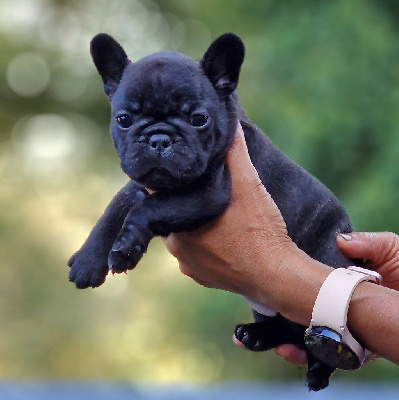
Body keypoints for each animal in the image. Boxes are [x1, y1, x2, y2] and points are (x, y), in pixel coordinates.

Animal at [68, 32, 356, 390]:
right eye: (123, 120)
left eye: (198, 119)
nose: (158, 139)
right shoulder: (140, 183)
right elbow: (116, 206)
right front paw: (88, 260)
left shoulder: (208, 192)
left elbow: (147, 208)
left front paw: (126, 248)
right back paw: (257, 335)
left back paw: (318, 370)